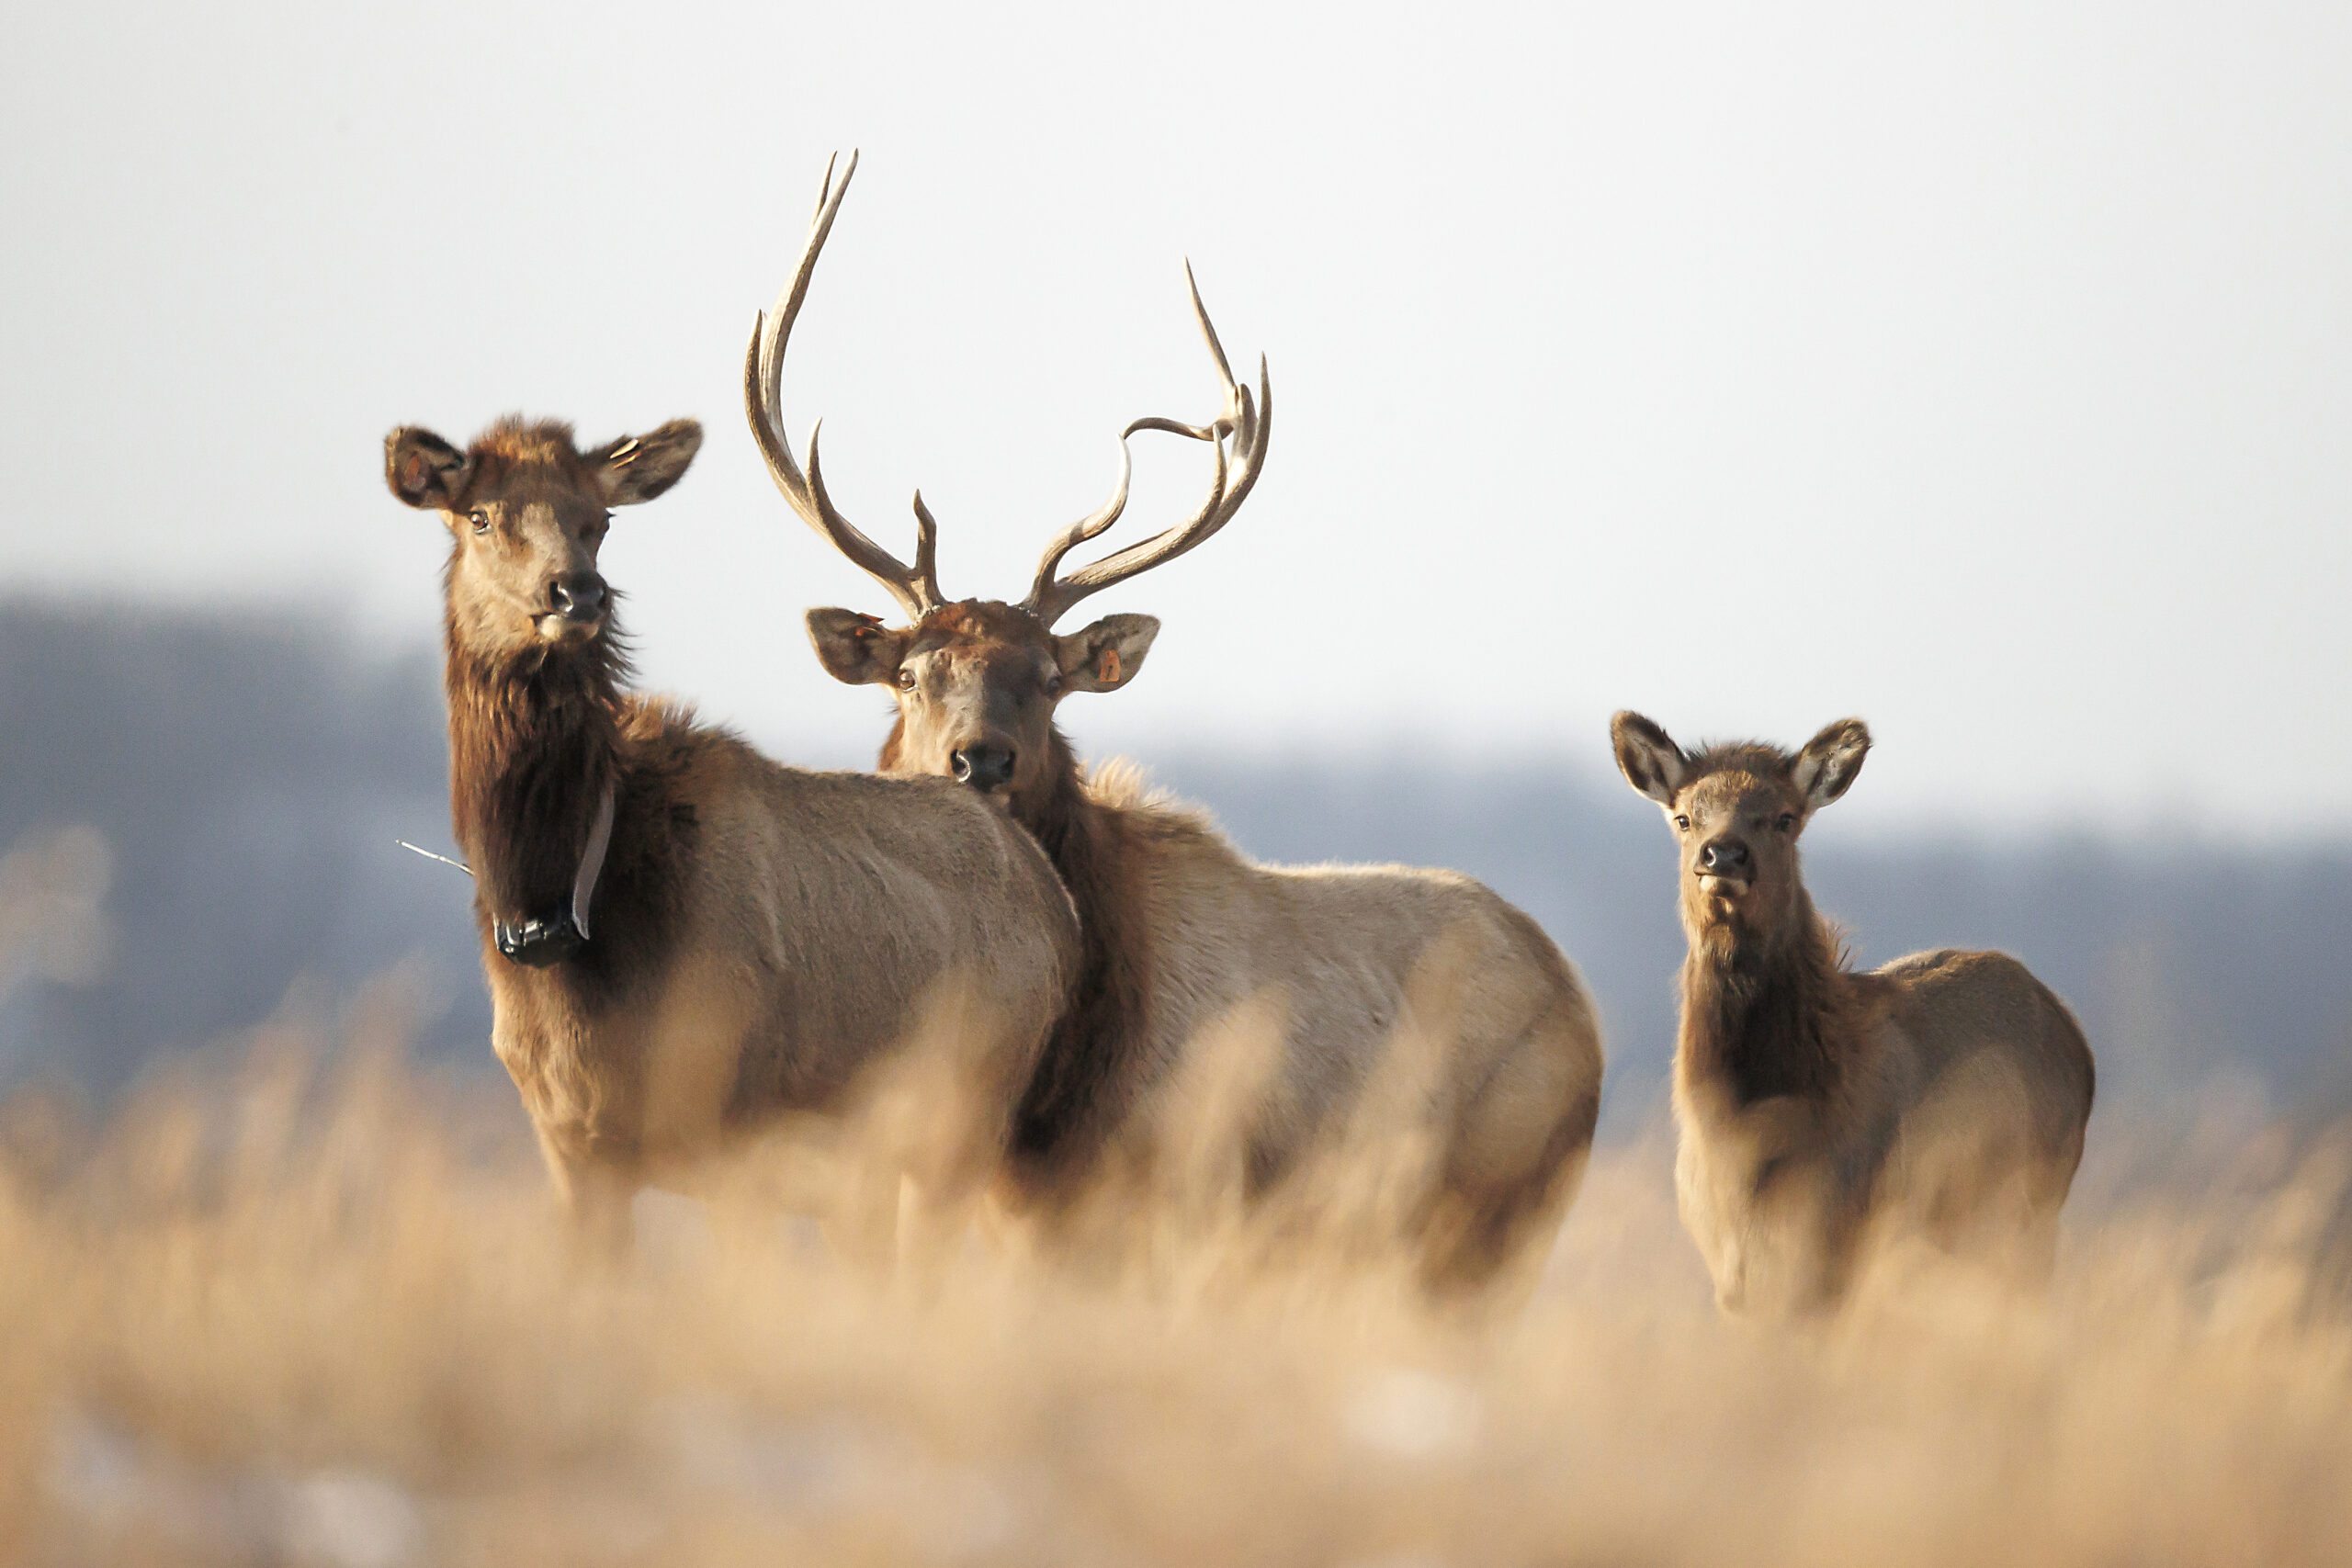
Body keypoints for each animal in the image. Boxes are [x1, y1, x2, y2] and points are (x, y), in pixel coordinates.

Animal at [381, 409, 1078, 1264]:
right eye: (479, 515)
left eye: (599, 520)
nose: (576, 591)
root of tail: (1057, 899)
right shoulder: (567, 1144)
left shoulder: (731, 1126)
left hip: (959, 1128)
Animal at [745, 154, 1604, 1298]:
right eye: (913, 675)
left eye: (1046, 678)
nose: (979, 759)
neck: (1054, 1088)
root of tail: (1580, 1003)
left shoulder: (1167, 1209)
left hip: (1491, 1220)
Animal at [1609, 712, 2096, 1315]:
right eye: (1683, 817)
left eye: (1785, 818)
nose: (1722, 854)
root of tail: (2074, 1035)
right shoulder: (1727, 1265)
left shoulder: (1838, 1236)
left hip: (2034, 1204)